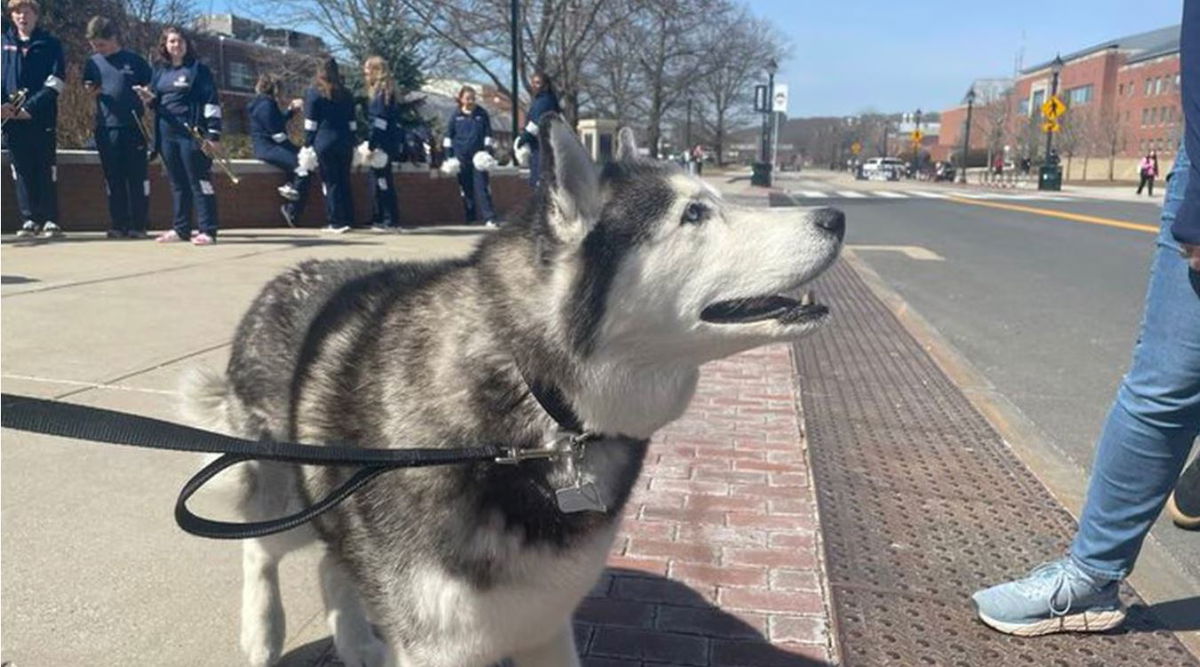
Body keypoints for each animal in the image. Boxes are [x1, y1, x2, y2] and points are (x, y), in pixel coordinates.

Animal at [184, 114, 844, 667]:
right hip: (290, 498)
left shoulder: (543, 624)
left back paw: (356, 642)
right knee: (260, 548)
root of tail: (282, 279)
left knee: (332, 564)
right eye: (694, 215)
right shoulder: (440, 647)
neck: (535, 401)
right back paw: (262, 634)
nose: (835, 218)